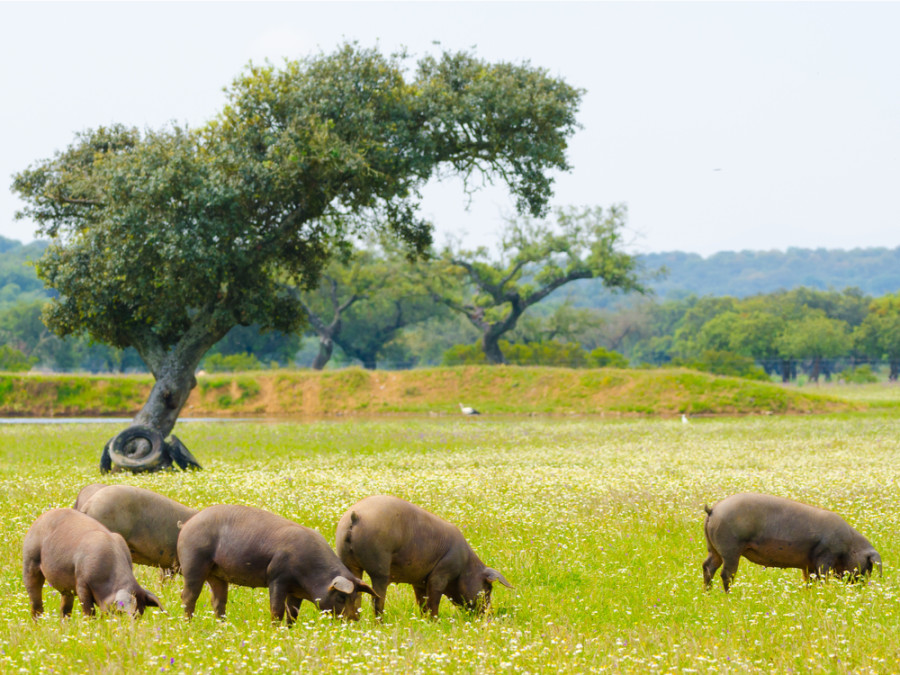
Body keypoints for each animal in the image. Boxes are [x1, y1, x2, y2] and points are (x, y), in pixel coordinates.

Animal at [21, 512, 163, 616]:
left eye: (140, 615)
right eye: (122, 613)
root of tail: (41, 517)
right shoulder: (81, 583)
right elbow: (89, 610)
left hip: (66, 588)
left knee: (65, 609)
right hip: (30, 561)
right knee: (36, 602)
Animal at [176, 504, 376, 624]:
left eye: (355, 597)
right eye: (341, 597)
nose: (354, 620)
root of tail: (186, 525)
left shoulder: (296, 591)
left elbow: (293, 613)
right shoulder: (277, 577)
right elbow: (277, 610)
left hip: (217, 574)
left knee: (217, 601)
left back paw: (222, 626)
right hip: (194, 562)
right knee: (188, 596)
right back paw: (188, 624)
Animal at [336, 494, 512, 620]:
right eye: (488, 588)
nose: (489, 614)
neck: (465, 565)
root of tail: (355, 516)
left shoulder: (419, 581)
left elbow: (421, 600)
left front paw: (424, 620)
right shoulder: (441, 573)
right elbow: (434, 598)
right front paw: (435, 621)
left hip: (348, 562)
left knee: (357, 592)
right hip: (379, 566)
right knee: (377, 598)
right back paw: (380, 623)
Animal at [700, 492, 884, 592]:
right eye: (868, 566)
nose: (861, 588)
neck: (850, 546)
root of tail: (714, 509)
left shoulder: (809, 564)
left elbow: (809, 580)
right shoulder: (826, 556)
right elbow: (823, 577)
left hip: (713, 548)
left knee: (707, 566)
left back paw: (708, 594)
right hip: (730, 548)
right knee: (726, 574)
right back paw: (729, 597)